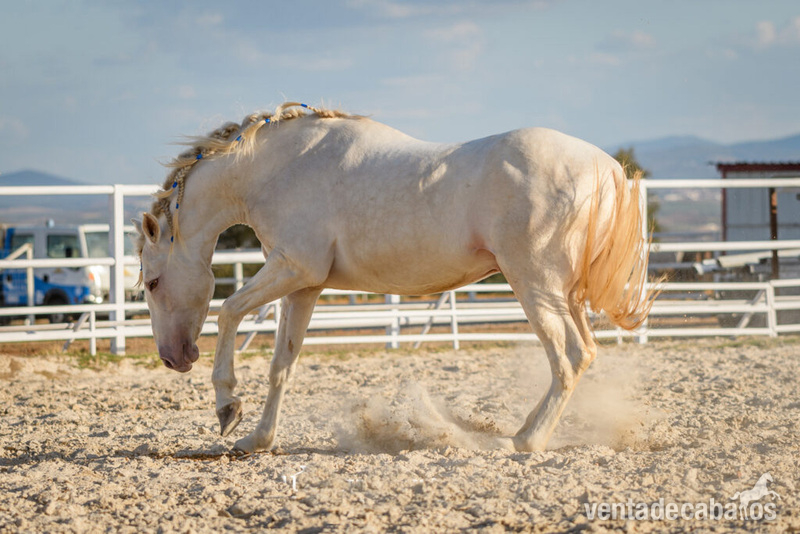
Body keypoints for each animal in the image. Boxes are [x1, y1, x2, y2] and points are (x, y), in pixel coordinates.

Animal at [133, 102, 655, 454]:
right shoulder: (304, 286)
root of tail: (604, 168)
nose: (174, 358)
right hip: (564, 294)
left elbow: (227, 311)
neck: (281, 167)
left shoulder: (292, 267)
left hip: (536, 287)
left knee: (570, 357)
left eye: (153, 283)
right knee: (584, 353)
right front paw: (257, 440)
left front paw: (227, 407)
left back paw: (524, 441)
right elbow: (282, 364)